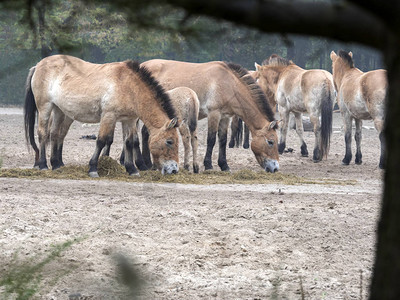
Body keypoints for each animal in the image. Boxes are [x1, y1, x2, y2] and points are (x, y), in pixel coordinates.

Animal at [23, 55, 180, 177]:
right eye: (169, 141)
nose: (174, 170)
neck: (129, 86)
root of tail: (38, 65)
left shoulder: (128, 120)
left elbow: (129, 142)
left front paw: (132, 169)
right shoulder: (108, 116)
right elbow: (101, 141)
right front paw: (93, 168)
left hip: (59, 110)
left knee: (55, 134)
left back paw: (56, 165)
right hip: (45, 107)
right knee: (43, 134)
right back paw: (43, 165)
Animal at [141, 59, 282, 171]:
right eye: (270, 142)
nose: (275, 168)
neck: (229, 84)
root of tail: (143, 64)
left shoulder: (225, 117)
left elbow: (223, 140)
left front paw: (224, 165)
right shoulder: (214, 114)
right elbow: (211, 139)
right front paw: (208, 164)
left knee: (146, 133)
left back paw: (148, 164)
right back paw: (145, 164)